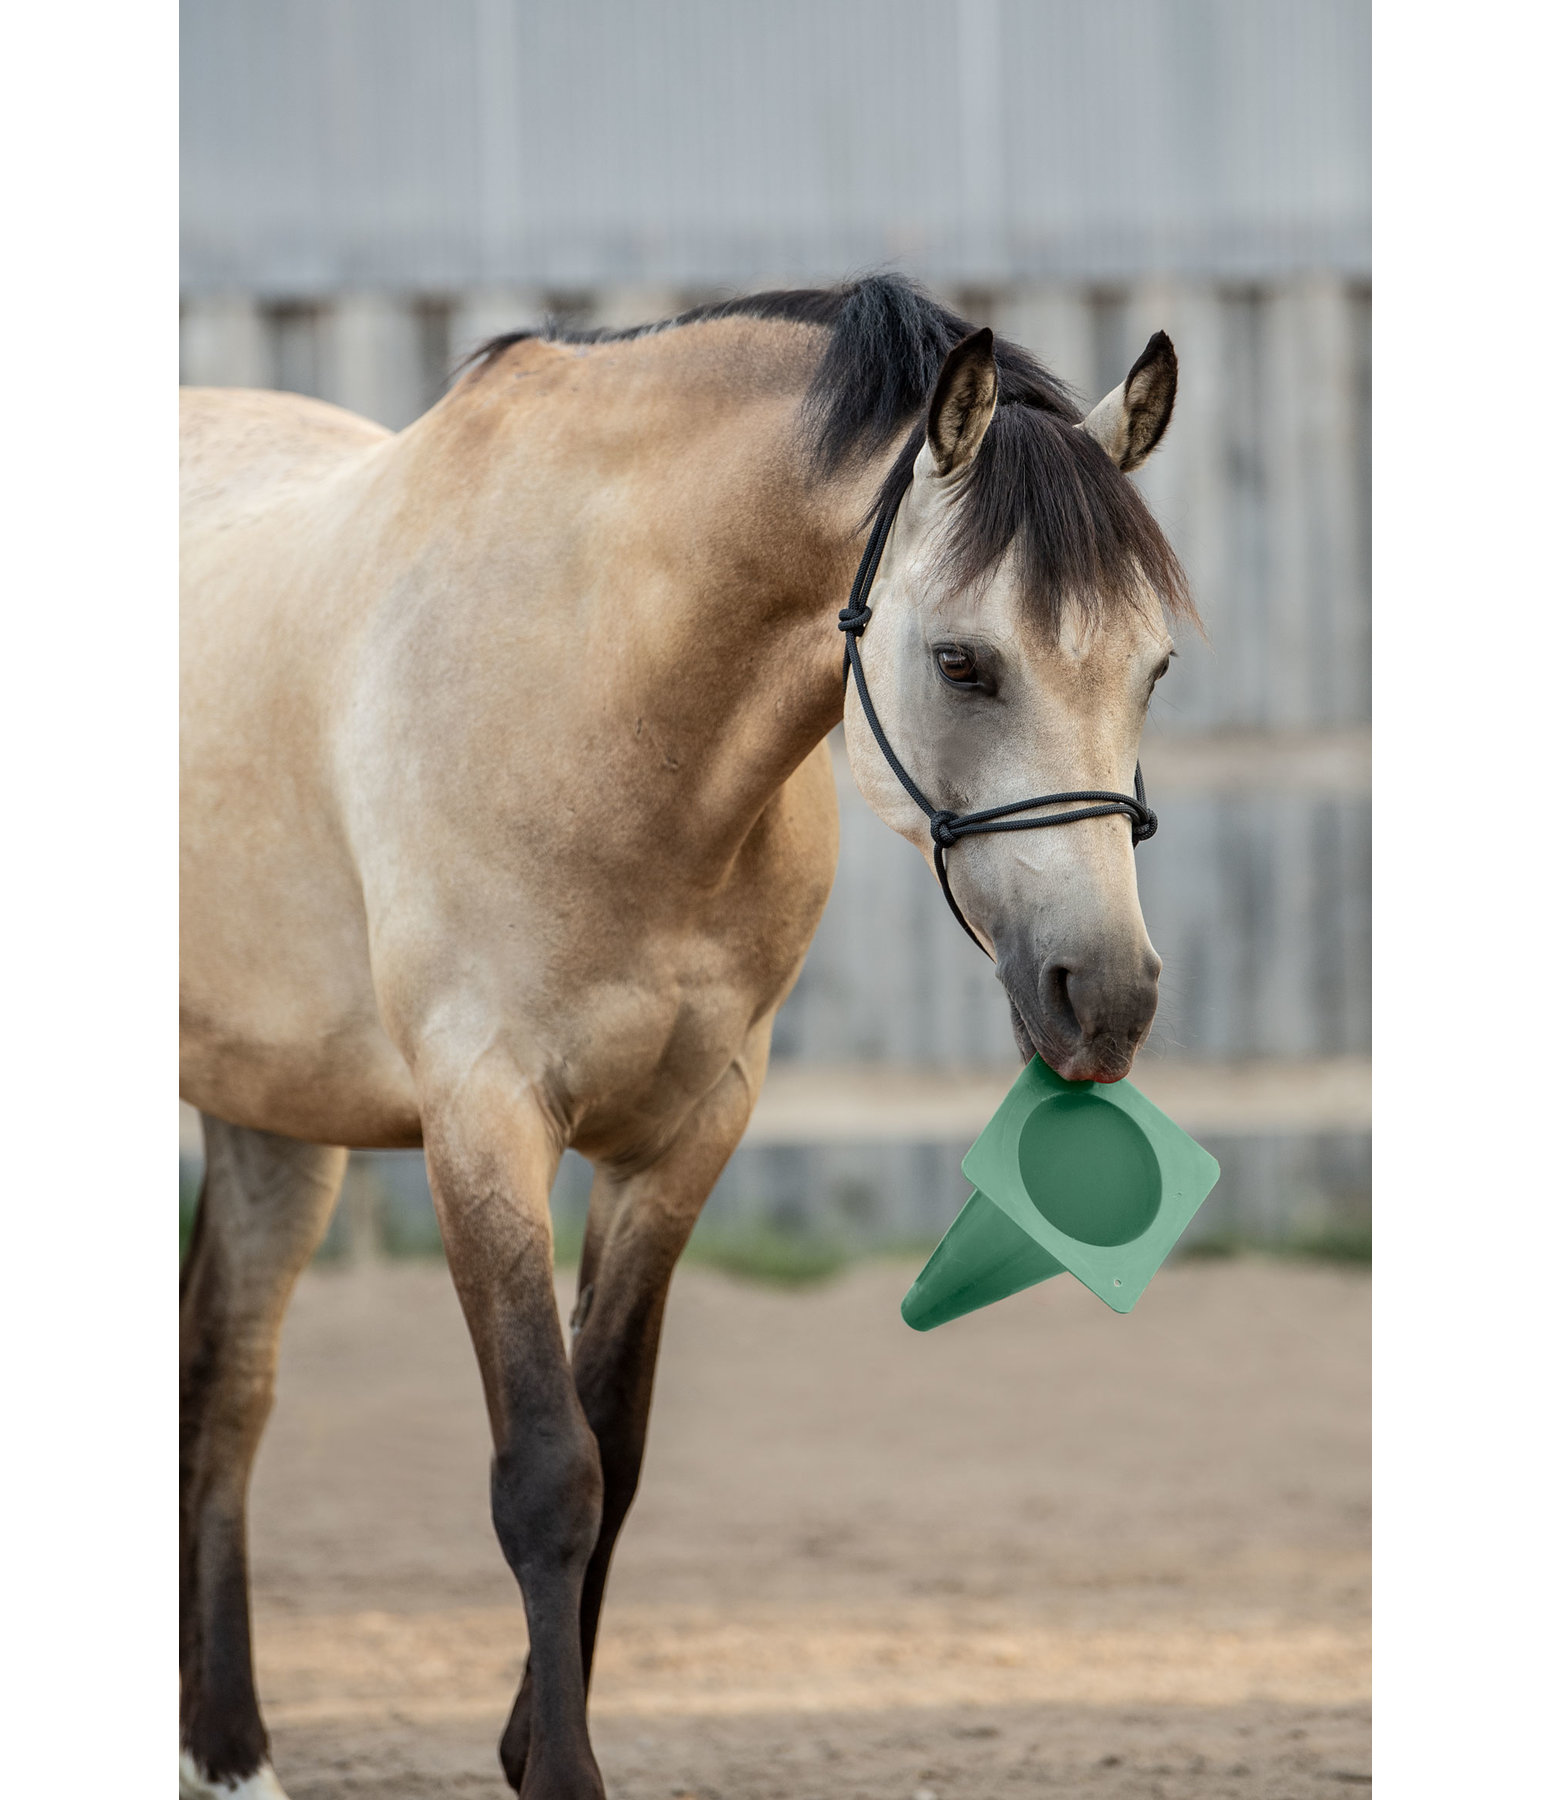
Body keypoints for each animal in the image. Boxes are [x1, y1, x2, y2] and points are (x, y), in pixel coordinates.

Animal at [184, 273, 1195, 1792]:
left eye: (1154, 667)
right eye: (963, 662)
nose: (1108, 997)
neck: (593, 693)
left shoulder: (684, 1132)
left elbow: (616, 1454)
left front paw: (528, 1745)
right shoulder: (482, 1120)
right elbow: (546, 1473)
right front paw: (557, 1771)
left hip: (272, 1117)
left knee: (227, 1393)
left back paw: (229, 1750)